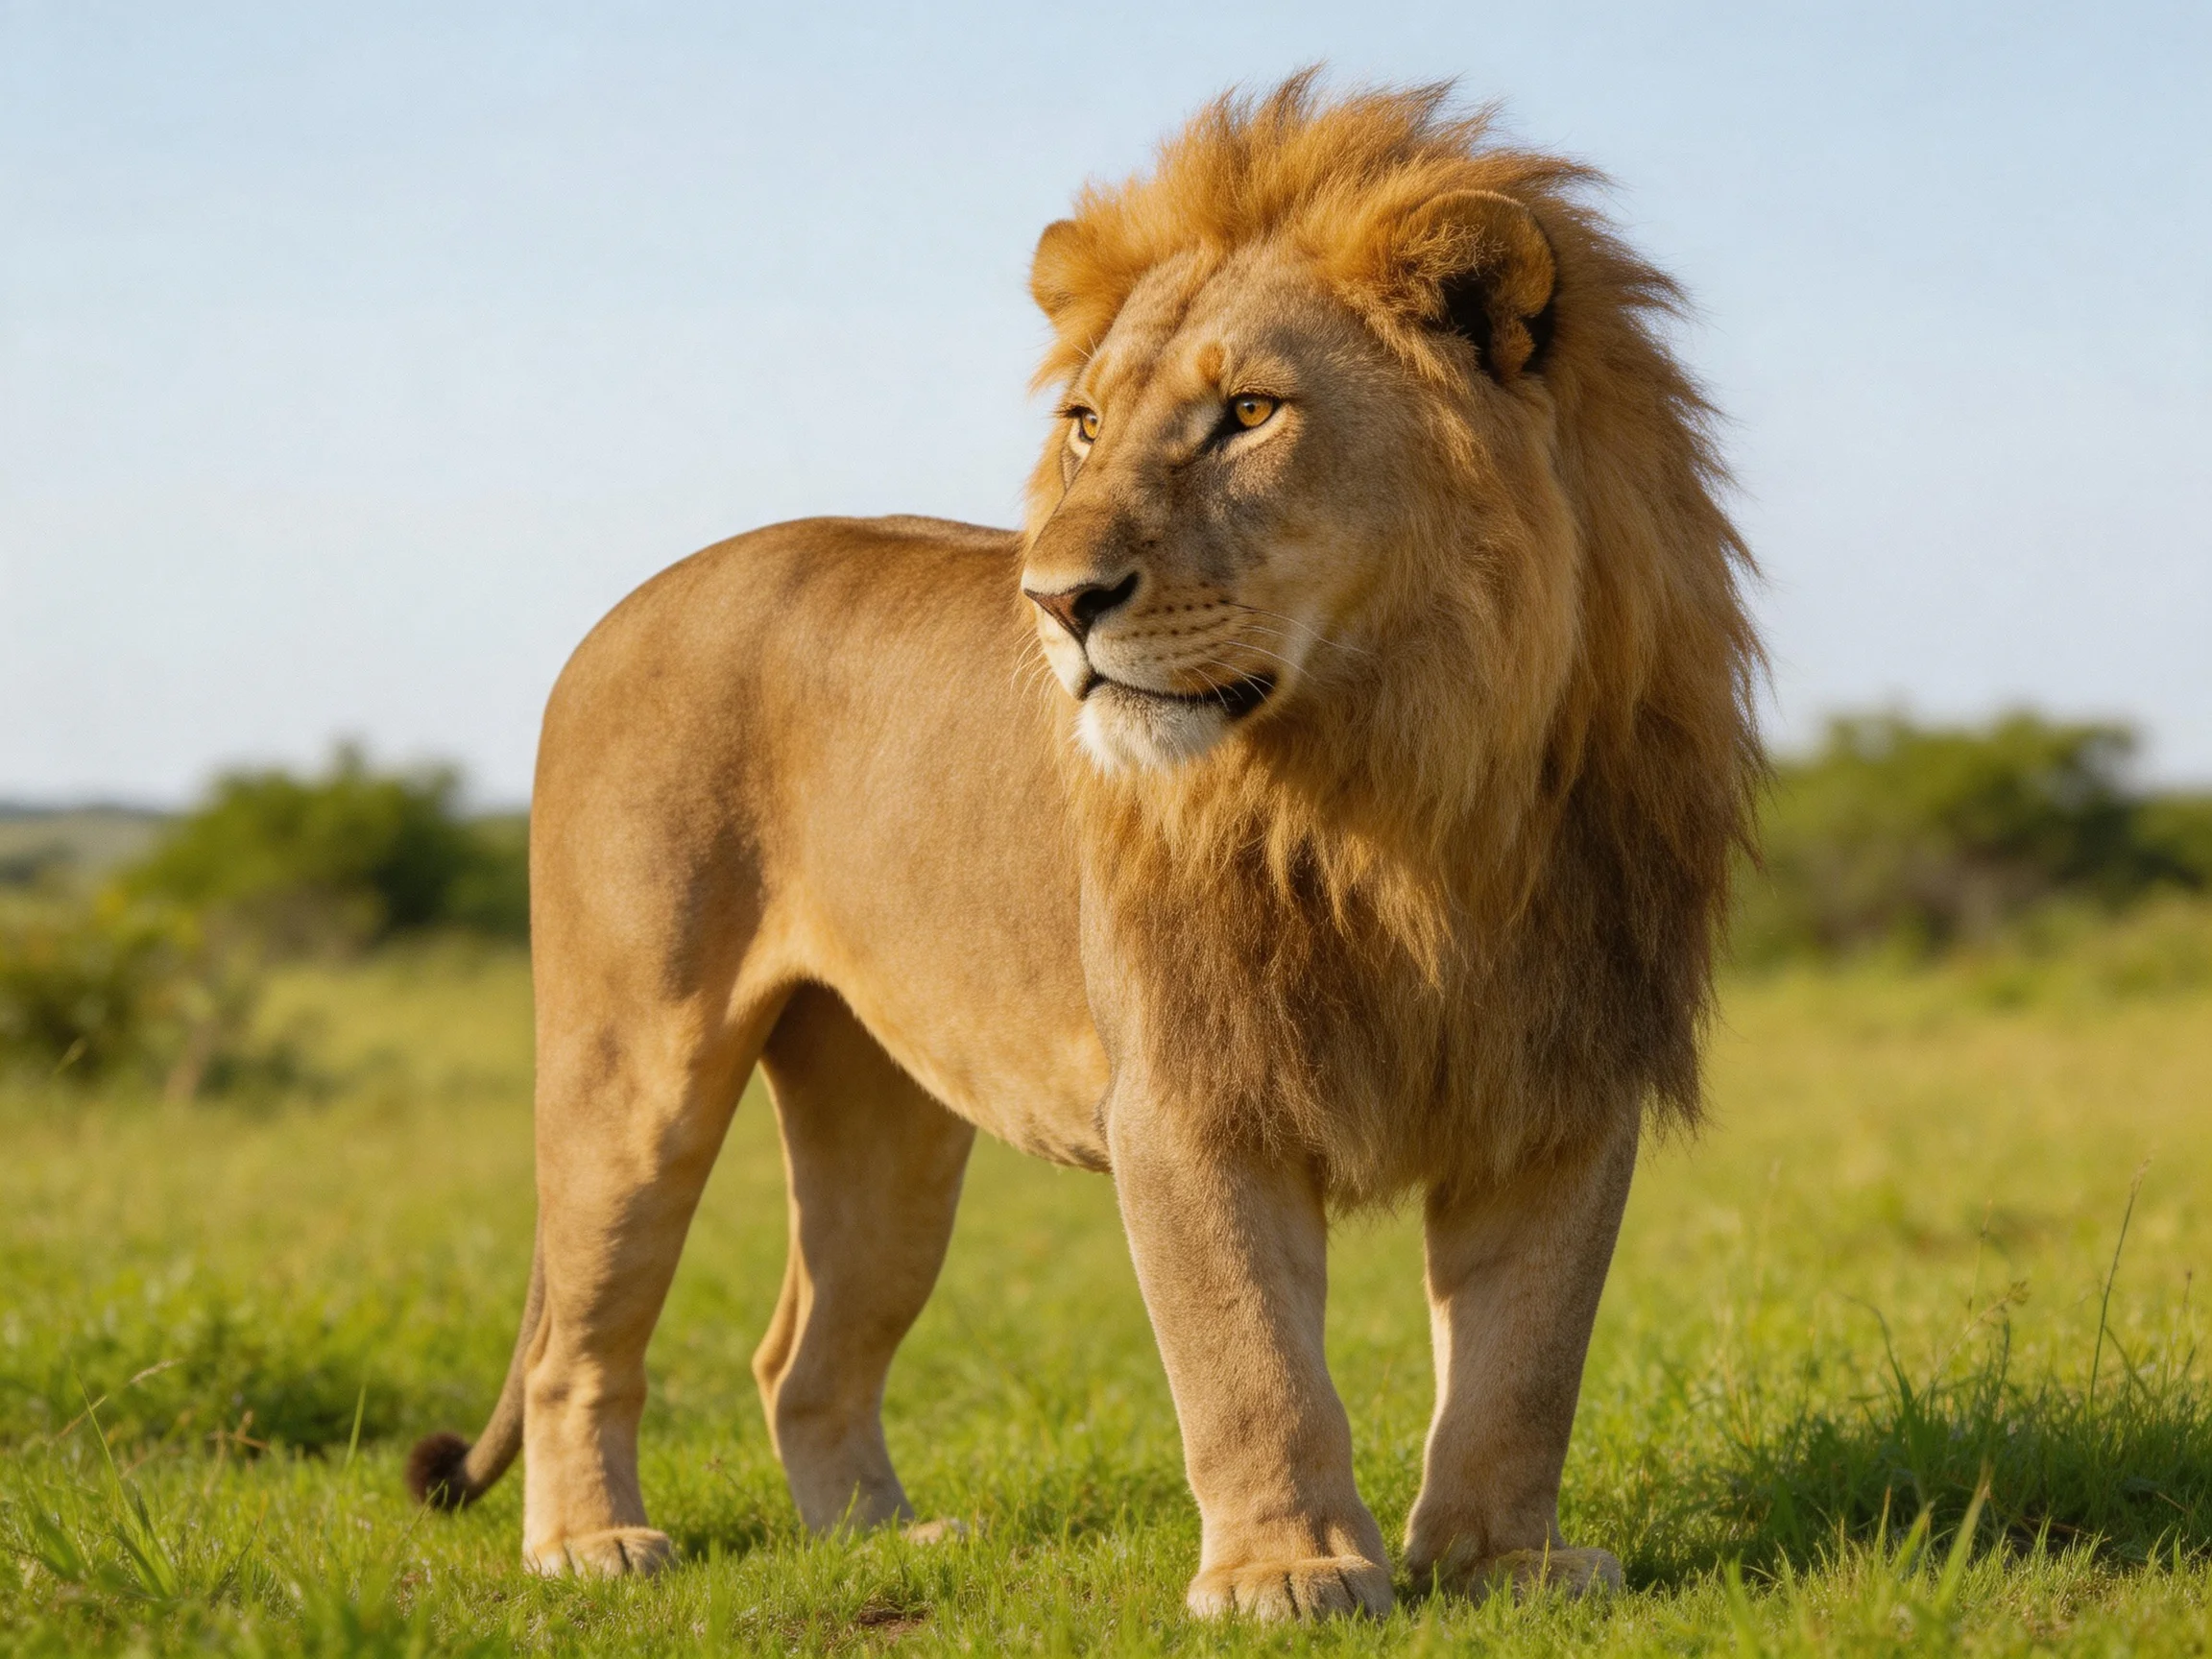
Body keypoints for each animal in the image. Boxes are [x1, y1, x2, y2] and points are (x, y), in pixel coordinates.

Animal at [405, 73, 1760, 1618]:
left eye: (1249, 412)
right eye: (1089, 424)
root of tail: (618, 612)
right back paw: (591, 1546)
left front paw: (1501, 1564)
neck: (1406, 786)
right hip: (635, 1059)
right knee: (583, 1339)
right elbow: (1249, 1356)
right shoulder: (1190, 1086)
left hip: (888, 1125)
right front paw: (1288, 1570)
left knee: (801, 1350)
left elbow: (1524, 1362)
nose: (1055, 601)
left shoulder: (1561, 1080)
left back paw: (879, 1539)